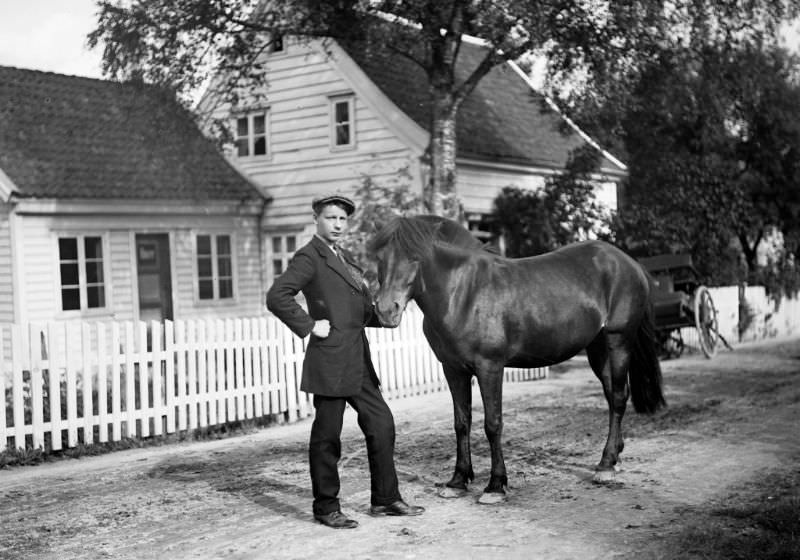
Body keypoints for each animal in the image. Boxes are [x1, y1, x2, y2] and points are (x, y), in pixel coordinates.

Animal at [366, 214, 664, 504]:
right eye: (380, 258)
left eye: (416, 257)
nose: (386, 311)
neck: (463, 293)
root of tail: (628, 263)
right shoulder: (453, 369)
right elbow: (461, 423)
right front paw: (458, 481)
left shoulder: (490, 368)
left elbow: (492, 424)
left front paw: (495, 486)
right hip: (598, 349)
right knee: (612, 396)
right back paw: (612, 459)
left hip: (618, 341)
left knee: (619, 398)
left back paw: (605, 466)